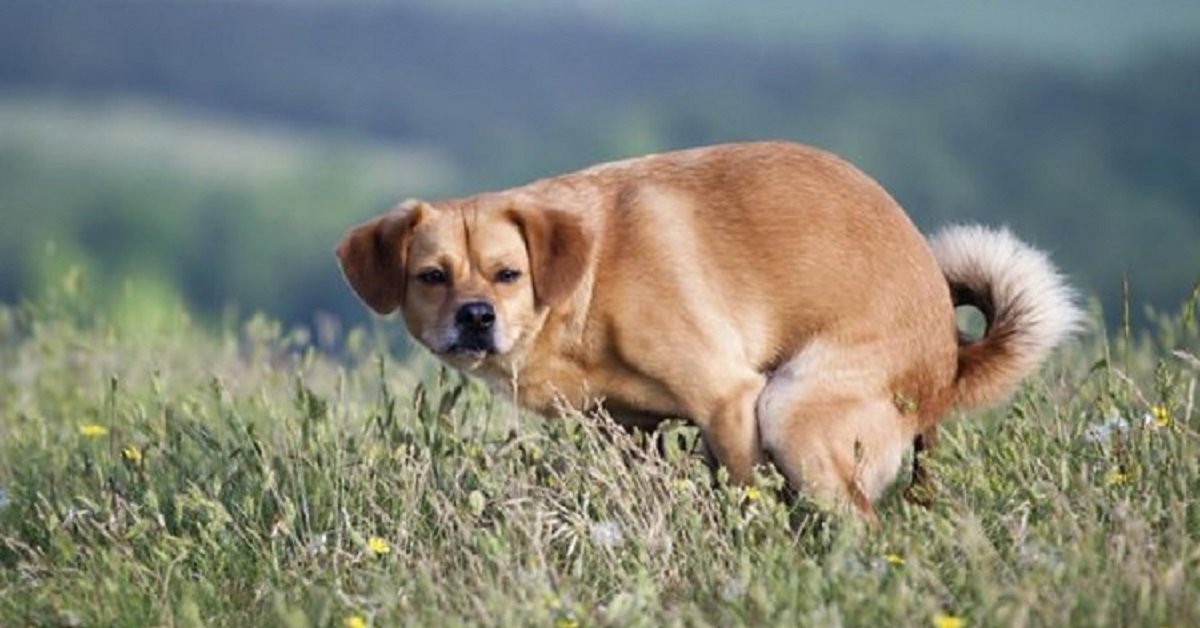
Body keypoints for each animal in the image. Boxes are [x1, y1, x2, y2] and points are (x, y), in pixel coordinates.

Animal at [336, 142, 1080, 521]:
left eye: (507, 275)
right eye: (432, 276)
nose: (476, 316)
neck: (588, 281)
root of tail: (951, 363)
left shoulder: (729, 399)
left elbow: (747, 488)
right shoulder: (626, 428)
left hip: (792, 407)